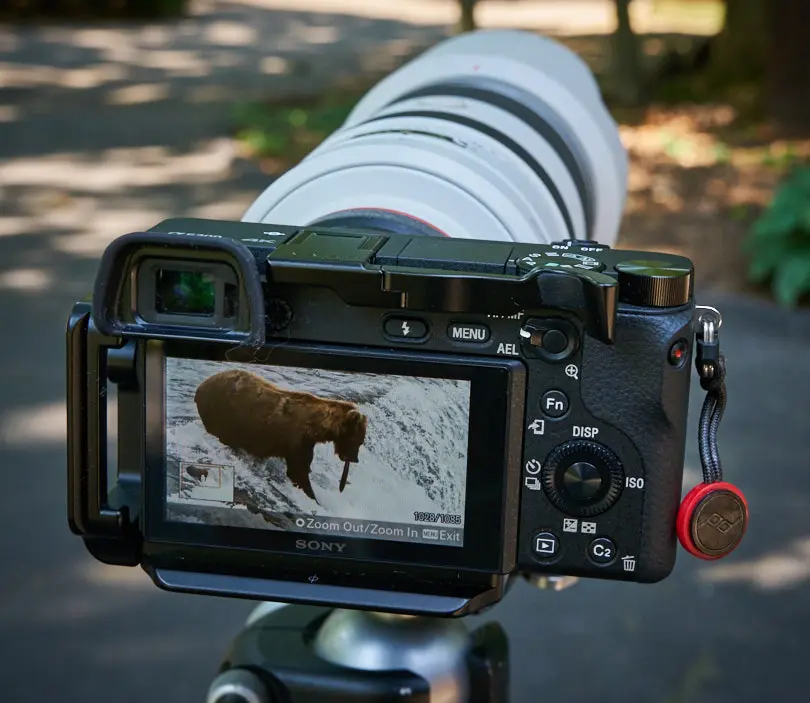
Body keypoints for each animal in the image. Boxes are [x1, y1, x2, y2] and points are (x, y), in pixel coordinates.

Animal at [193, 368, 368, 501]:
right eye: (357, 440)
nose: (355, 459)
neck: (315, 428)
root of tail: (200, 387)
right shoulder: (297, 442)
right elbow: (298, 472)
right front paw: (312, 497)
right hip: (220, 414)